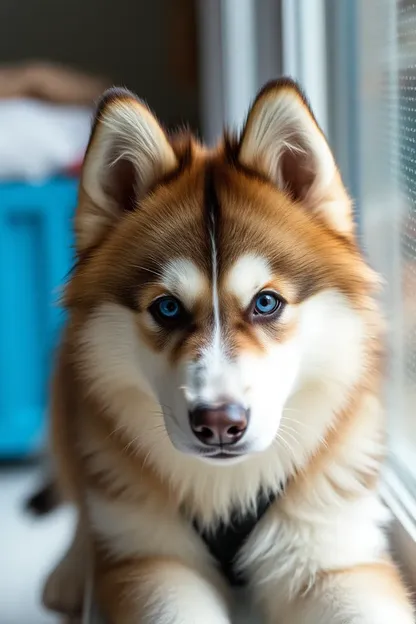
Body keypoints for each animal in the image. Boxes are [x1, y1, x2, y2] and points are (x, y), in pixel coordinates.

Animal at [40, 79, 414, 624]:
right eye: (167, 308)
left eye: (266, 302)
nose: (219, 423)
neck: (231, 490)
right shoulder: (151, 562)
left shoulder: (330, 549)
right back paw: (69, 571)